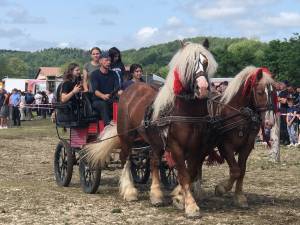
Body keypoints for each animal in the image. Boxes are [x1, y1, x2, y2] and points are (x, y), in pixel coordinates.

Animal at [85, 40, 217, 218]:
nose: (202, 88)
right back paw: (130, 191)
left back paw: (155, 196)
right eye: (187, 64)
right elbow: (183, 173)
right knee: (125, 159)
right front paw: (190, 206)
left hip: (154, 141)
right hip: (126, 136)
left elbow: (190, 172)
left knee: (154, 161)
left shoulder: (197, 147)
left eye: (205, 62)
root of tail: (129, 90)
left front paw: (178, 198)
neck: (186, 111)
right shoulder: (176, 146)